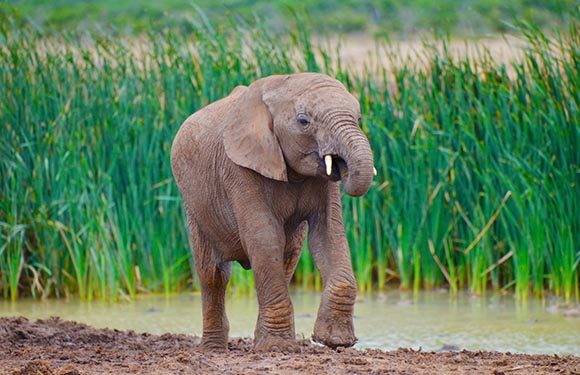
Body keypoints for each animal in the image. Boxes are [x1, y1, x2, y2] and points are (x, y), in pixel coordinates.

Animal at [168, 72, 376, 352]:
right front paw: (279, 348)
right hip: (195, 208)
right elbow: (264, 237)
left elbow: (328, 234)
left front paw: (334, 341)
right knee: (213, 275)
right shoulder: (239, 169)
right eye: (303, 121)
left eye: (359, 118)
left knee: (288, 258)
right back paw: (214, 350)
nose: (343, 167)